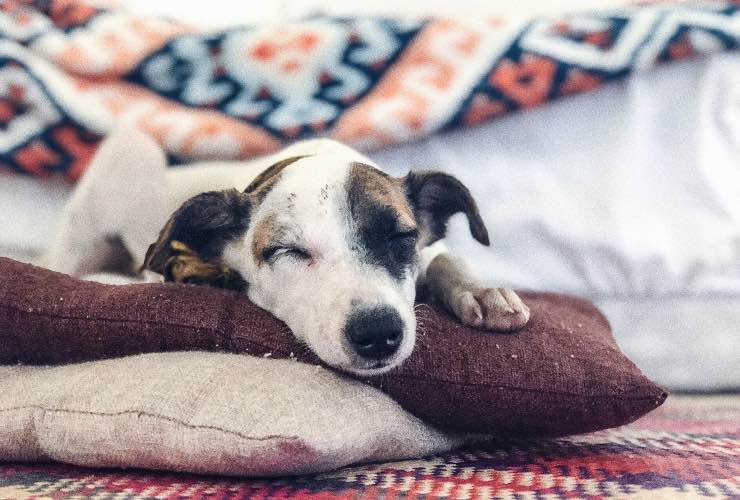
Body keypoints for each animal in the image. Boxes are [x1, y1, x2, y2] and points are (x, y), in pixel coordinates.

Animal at [44, 128, 528, 376]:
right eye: (288, 251)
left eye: (400, 238)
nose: (378, 334)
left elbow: (444, 256)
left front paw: (482, 292)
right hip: (129, 153)